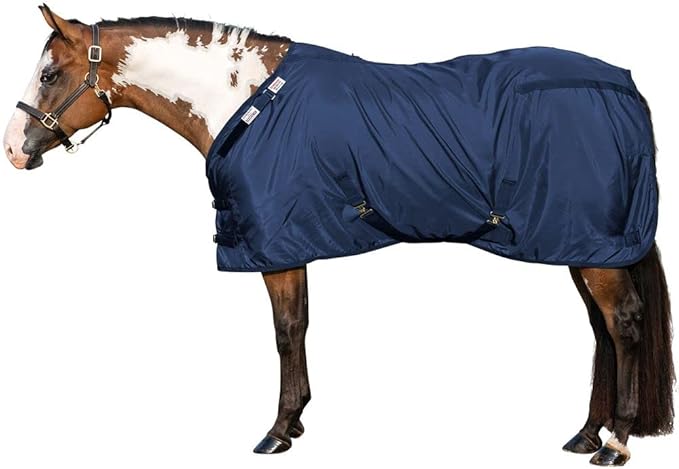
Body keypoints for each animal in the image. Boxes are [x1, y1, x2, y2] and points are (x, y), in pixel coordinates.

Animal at [3, 6, 674, 465]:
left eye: (50, 73)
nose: (13, 150)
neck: (248, 102)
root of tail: (624, 88)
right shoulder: (290, 243)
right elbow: (299, 328)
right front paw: (296, 422)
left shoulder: (275, 246)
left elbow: (285, 332)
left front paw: (278, 431)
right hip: (581, 247)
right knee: (602, 331)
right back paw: (586, 433)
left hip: (594, 250)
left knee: (624, 325)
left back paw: (614, 442)